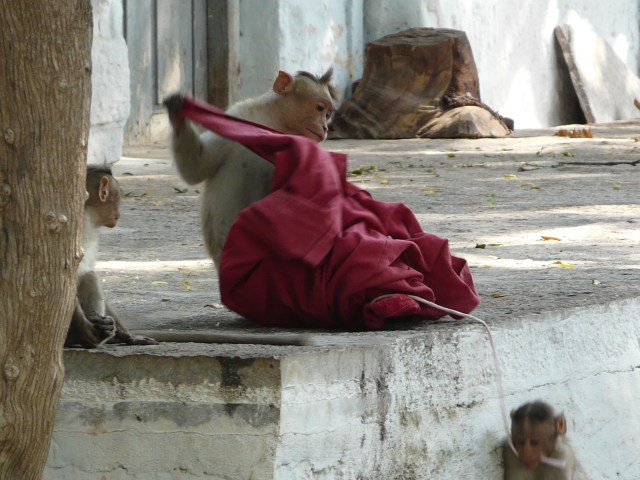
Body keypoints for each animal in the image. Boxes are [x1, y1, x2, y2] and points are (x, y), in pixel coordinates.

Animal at [65, 166, 158, 348]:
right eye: (118, 199)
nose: (119, 212)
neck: (86, 212)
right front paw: (86, 332)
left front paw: (129, 336)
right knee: (90, 277)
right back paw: (86, 337)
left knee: (89, 275)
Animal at [163, 68, 338, 268]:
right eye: (320, 108)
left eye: (328, 115)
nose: (325, 128)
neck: (273, 124)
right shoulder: (237, 116)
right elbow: (197, 167)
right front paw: (177, 114)